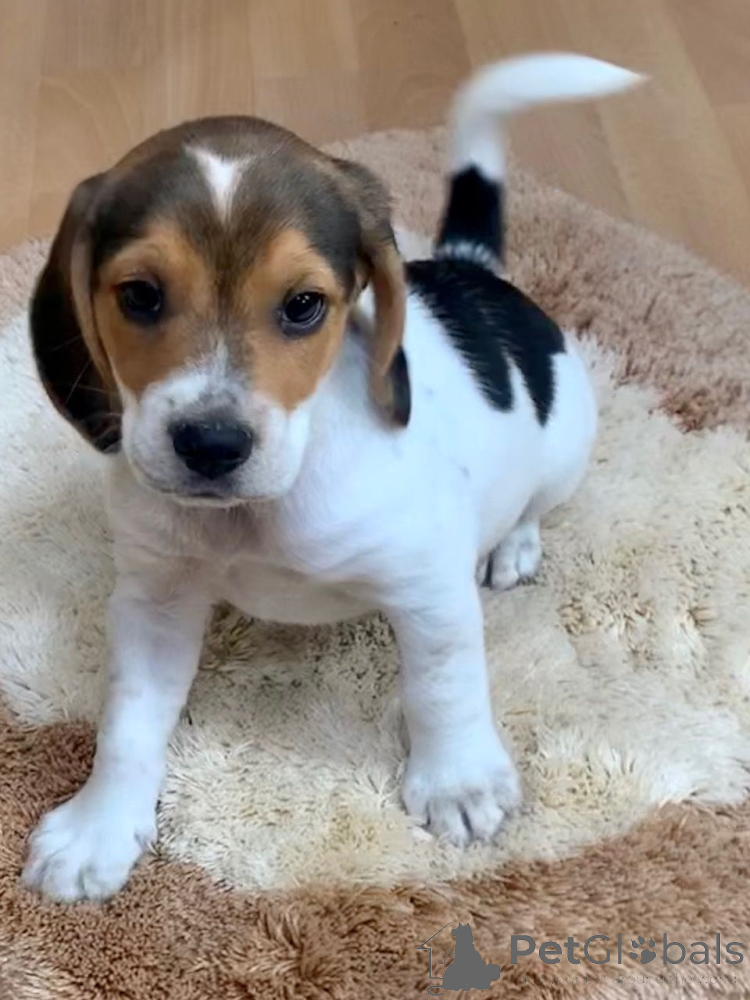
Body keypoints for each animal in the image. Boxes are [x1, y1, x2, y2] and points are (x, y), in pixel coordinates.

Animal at [22, 53, 642, 901]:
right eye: (140, 295)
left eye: (305, 305)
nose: (210, 444)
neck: (255, 512)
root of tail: (470, 268)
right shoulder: (155, 599)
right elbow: (127, 721)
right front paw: (98, 828)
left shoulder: (428, 586)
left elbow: (444, 685)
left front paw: (458, 782)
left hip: (565, 447)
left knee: (531, 508)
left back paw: (513, 548)